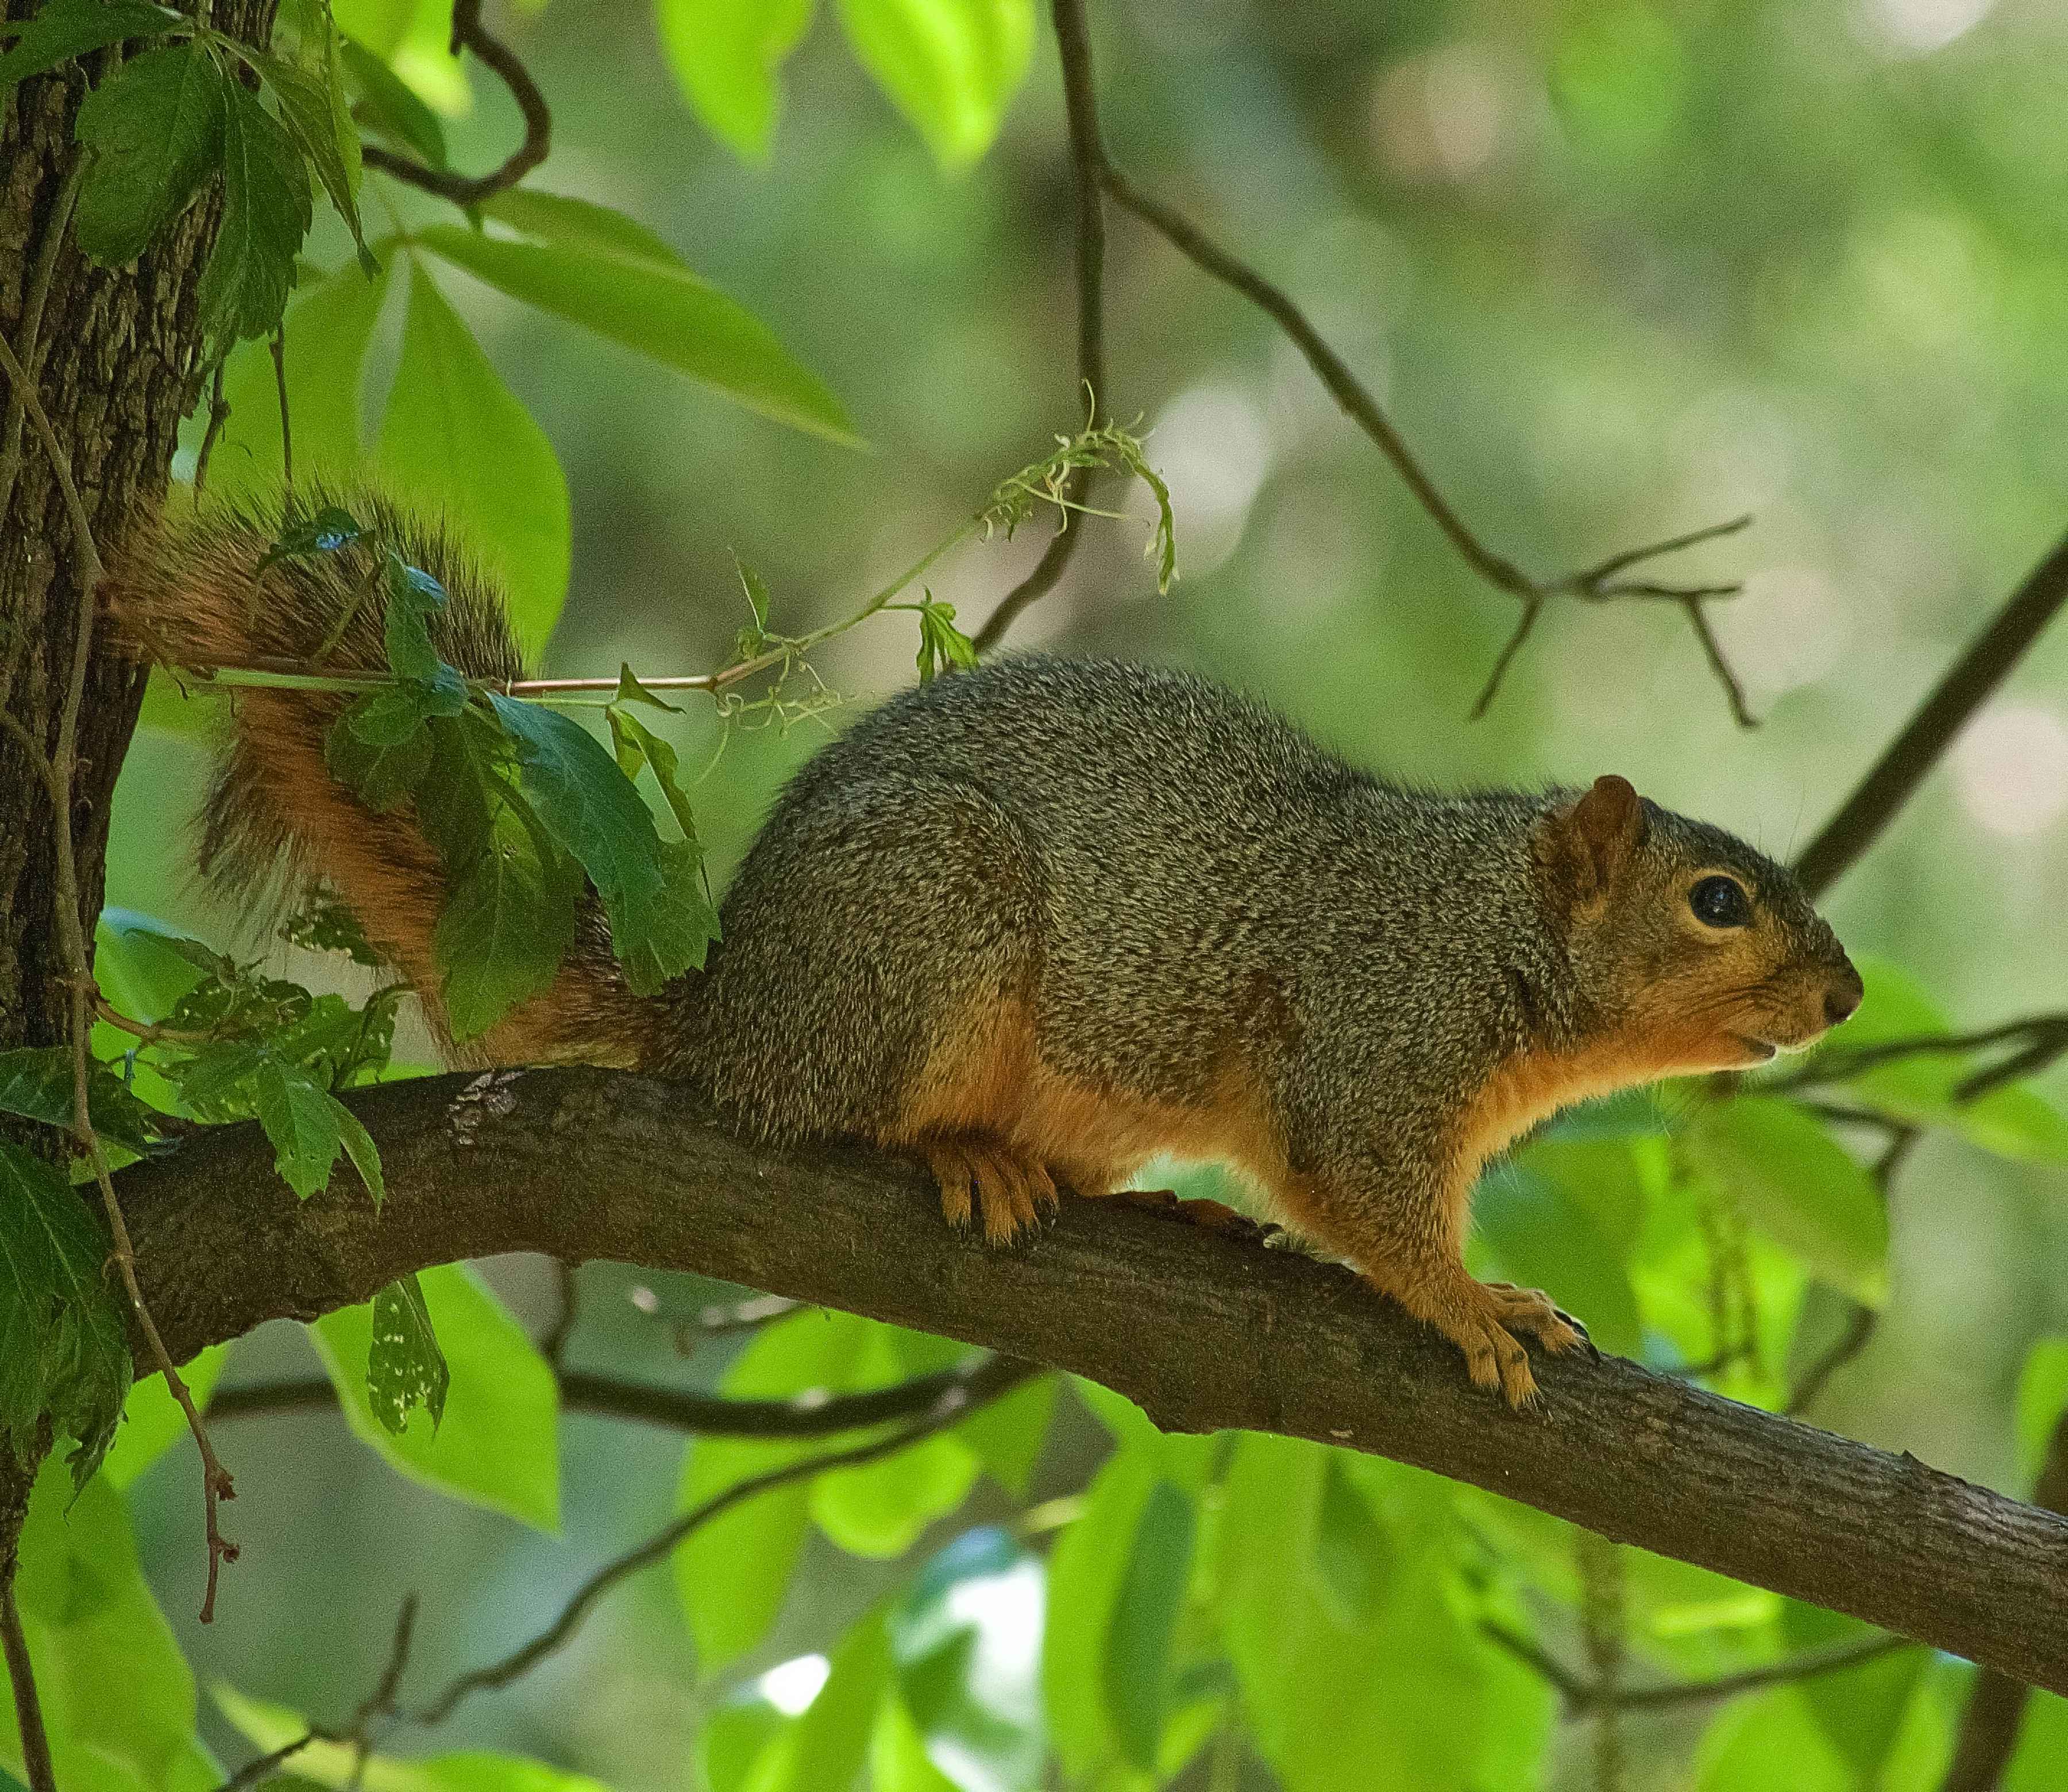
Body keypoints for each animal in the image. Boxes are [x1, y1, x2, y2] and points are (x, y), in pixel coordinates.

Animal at [108, 490, 1863, 1407]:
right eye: (1716, 900)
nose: (1843, 992)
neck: (1483, 926)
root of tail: (731, 1010)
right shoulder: (1373, 1034)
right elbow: (1364, 1192)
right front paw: (1479, 1306)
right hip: (929, 922)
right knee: (843, 1110)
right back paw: (960, 1153)